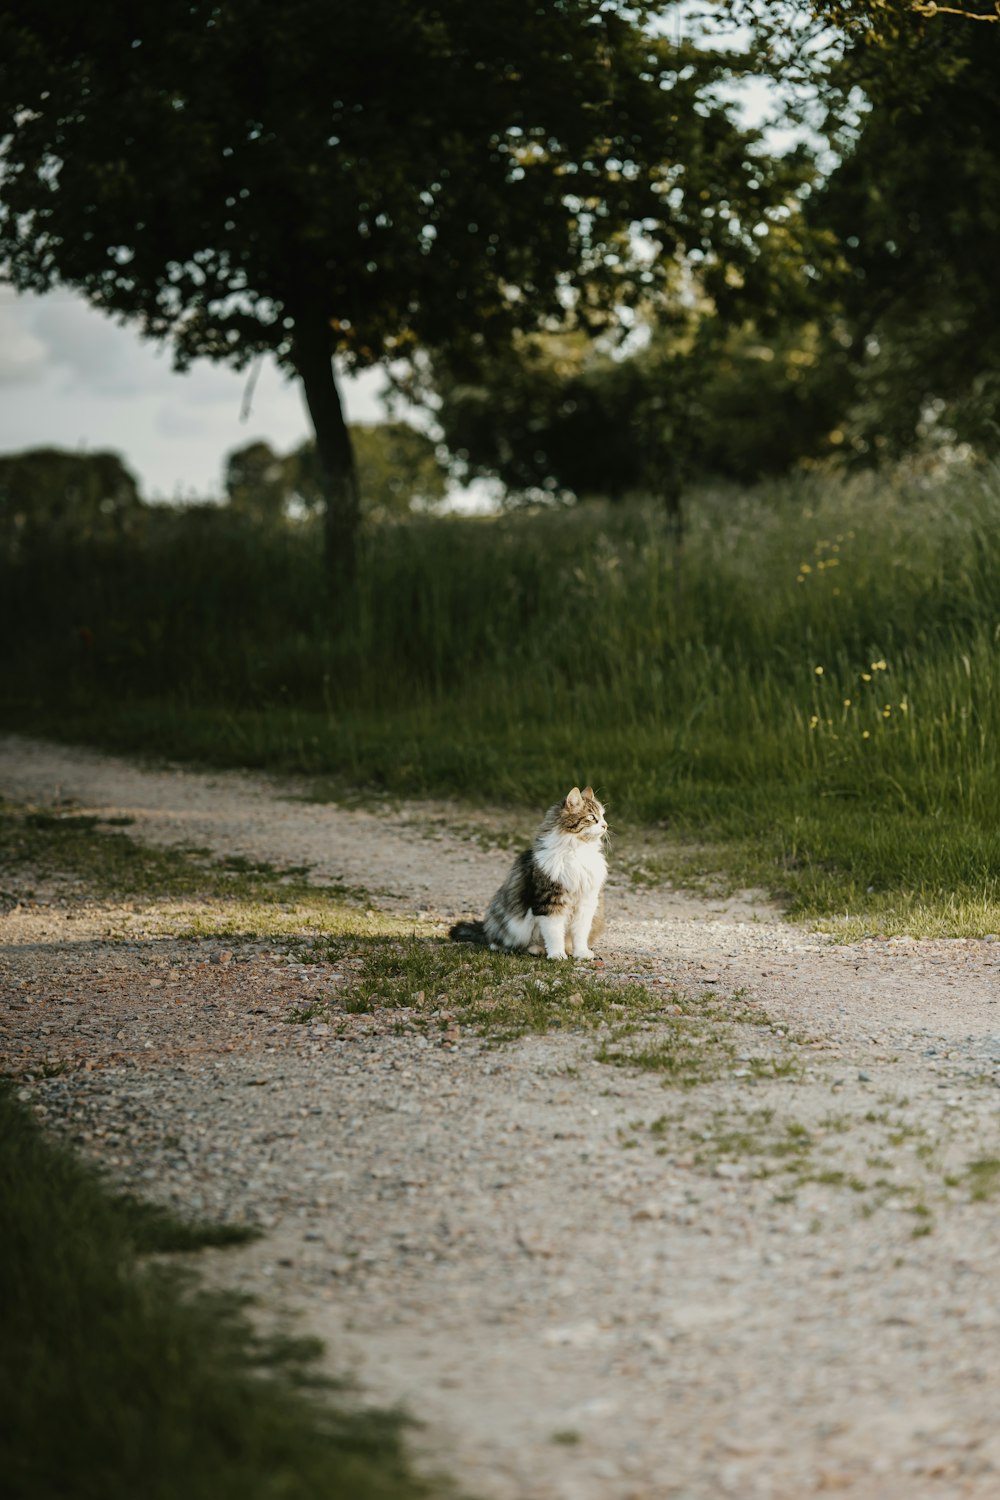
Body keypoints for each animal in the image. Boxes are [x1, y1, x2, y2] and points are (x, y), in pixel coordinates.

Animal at [446, 786, 605, 960]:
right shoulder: (549, 902)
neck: (577, 851)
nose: (605, 825)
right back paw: (532, 949)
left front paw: (581, 953)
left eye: (603, 816)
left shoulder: (586, 903)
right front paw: (557, 955)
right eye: (592, 817)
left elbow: (580, 934)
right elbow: (554, 933)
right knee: (497, 940)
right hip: (507, 921)